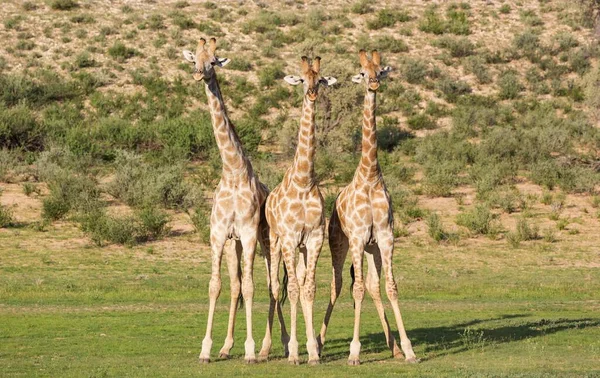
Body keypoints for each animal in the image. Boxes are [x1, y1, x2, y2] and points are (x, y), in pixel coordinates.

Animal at [182, 37, 290, 364]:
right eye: (194, 58)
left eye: (214, 61)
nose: (198, 74)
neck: (232, 172)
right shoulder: (220, 235)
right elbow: (217, 286)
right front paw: (208, 349)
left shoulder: (250, 233)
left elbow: (253, 287)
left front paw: (251, 350)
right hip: (235, 246)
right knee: (236, 286)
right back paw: (228, 346)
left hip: (269, 243)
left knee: (272, 285)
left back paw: (276, 345)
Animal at [318, 51, 418, 366]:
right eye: (362, 72)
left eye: (380, 70)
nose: (373, 83)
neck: (370, 175)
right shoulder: (358, 238)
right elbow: (358, 290)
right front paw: (354, 353)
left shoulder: (385, 238)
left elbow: (390, 287)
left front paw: (409, 350)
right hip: (339, 243)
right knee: (338, 285)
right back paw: (319, 344)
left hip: (372, 249)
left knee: (374, 286)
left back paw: (394, 346)